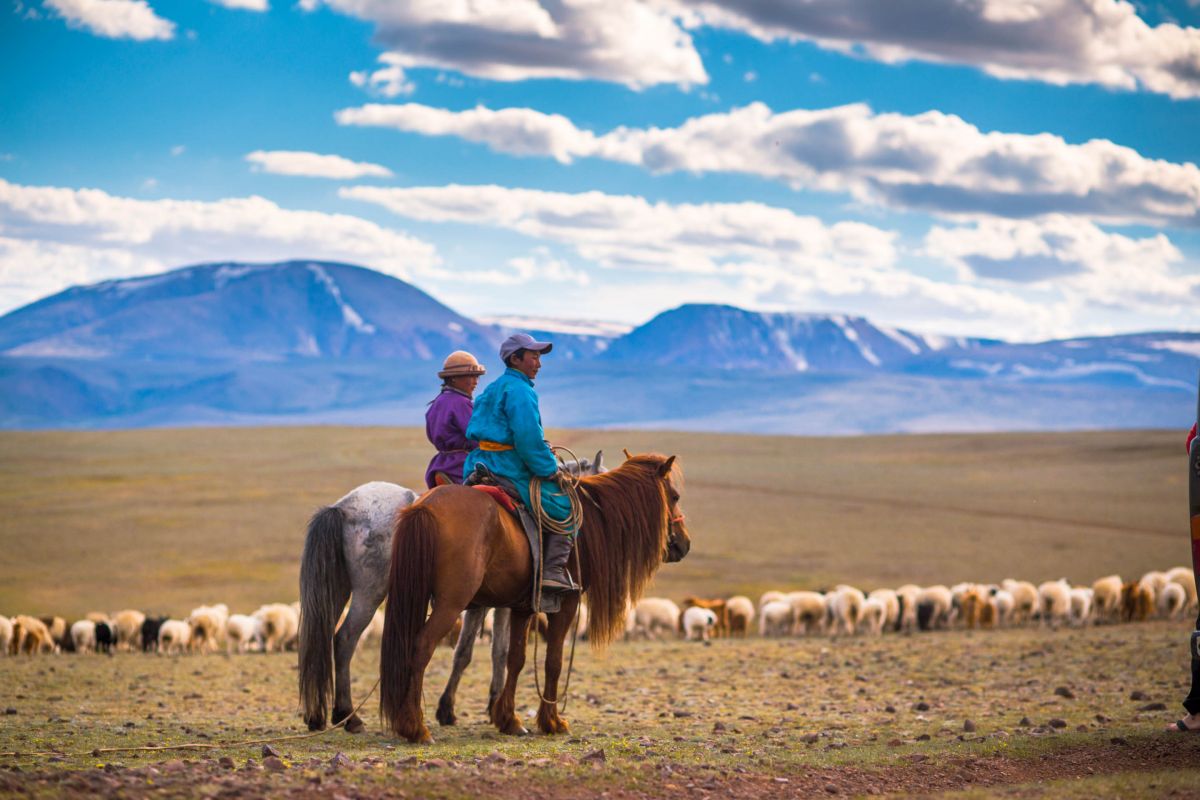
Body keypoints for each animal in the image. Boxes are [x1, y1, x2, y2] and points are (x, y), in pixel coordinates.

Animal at [379, 453, 691, 743]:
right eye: (674, 496)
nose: (684, 544)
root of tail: (425, 506)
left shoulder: (522, 607)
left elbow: (514, 658)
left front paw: (508, 719)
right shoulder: (567, 603)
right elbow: (553, 660)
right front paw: (552, 721)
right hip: (450, 603)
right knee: (422, 646)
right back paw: (416, 727)